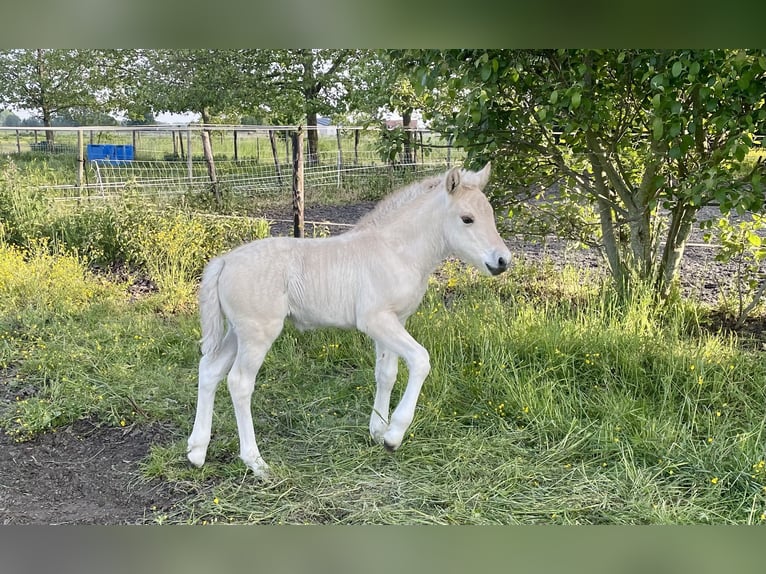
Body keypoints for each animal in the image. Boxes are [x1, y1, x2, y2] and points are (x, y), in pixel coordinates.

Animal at [187, 162, 512, 476]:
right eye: (467, 219)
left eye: (490, 214)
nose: (502, 261)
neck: (396, 251)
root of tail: (224, 261)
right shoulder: (376, 320)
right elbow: (420, 360)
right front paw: (394, 436)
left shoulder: (395, 321)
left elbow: (386, 373)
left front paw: (378, 432)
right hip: (257, 333)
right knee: (239, 383)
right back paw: (255, 462)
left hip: (236, 332)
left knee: (210, 370)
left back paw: (196, 452)